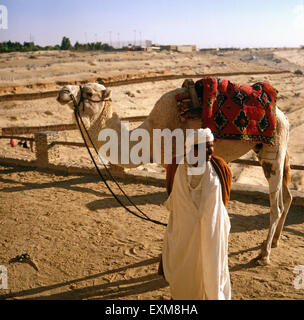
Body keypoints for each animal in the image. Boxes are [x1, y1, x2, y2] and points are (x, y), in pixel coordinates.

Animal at [57, 81, 292, 264]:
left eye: (89, 93)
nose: (62, 91)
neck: (149, 137)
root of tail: (283, 116)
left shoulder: (176, 160)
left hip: (273, 151)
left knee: (277, 205)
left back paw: (263, 254)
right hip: (268, 151)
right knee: (287, 196)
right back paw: (275, 241)